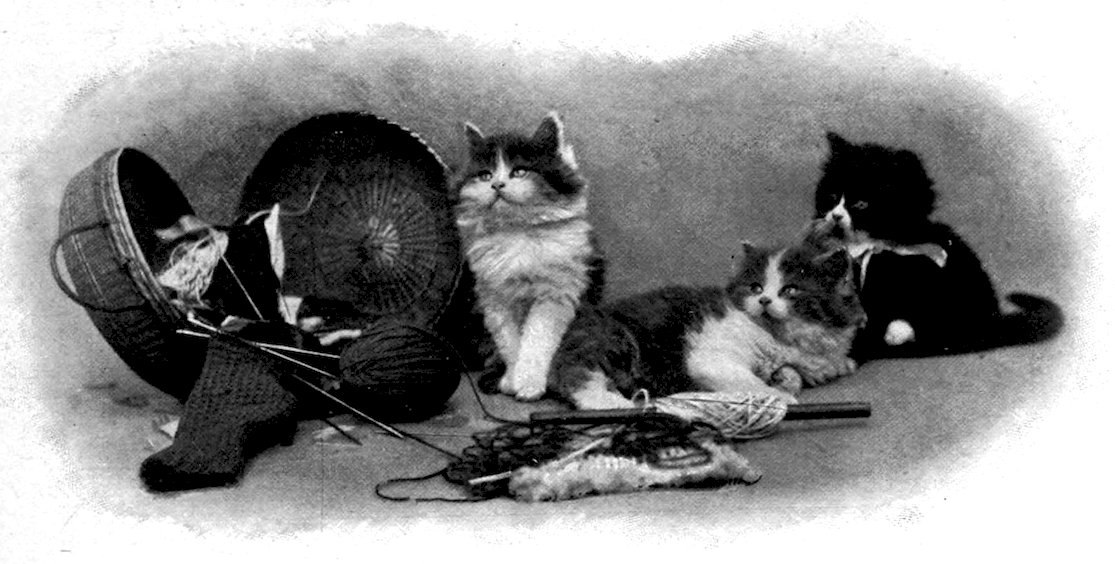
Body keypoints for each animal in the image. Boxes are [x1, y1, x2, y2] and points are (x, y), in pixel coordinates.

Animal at [452, 112, 605, 401]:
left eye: (520, 172)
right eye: (485, 175)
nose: (496, 185)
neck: (517, 231)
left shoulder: (555, 294)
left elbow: (535, 340)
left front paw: (529, 384)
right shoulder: (495, 300)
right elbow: (510, 343)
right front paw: (513, 379)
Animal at [547, 240, 866, 410]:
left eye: (791, 290)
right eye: (756, 288)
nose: (764, 301)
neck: (781, 338)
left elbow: (794, 374)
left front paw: (786, 379)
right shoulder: (711, 357)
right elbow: (745, 380)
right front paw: (778, 396)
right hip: (612, 340)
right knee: (577, 376)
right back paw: (619, 404)